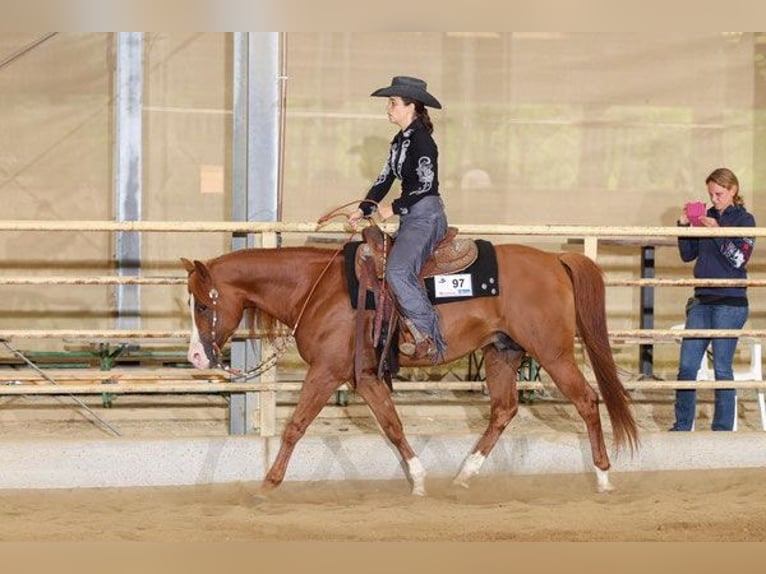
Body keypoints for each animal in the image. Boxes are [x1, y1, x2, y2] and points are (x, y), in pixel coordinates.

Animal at [182, 239, 639, 497]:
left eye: (203, 305)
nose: (196, 358)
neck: (318, 289)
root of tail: (554, 259)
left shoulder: (327, 372)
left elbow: (296, 426)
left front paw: (267, 484)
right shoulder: (363, 377)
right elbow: (392, 424)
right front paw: (418, 479)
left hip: (553, 352)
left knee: (587, 401)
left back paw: (603, 477)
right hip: (502, 353)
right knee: (504, 410)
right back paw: (464, 476)